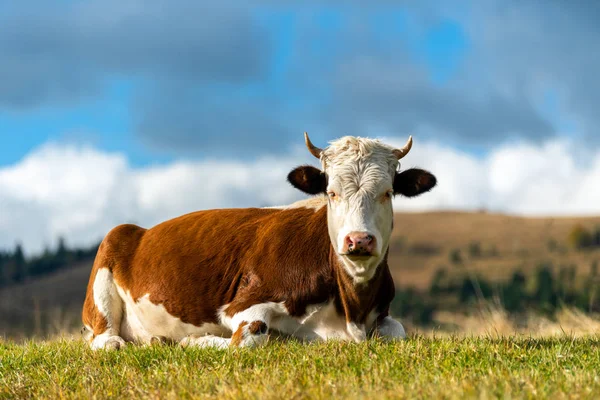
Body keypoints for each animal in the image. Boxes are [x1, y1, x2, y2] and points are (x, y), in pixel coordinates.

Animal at [81, 133, 436, 348]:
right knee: (106, 338)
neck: (351, 311)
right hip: (106, 271)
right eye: (331, 193)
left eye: (387, 192)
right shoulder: (241, 304)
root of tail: (140, 230)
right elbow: (248, 339)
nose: (358, 241)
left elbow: (398, 332)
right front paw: (196, 341)